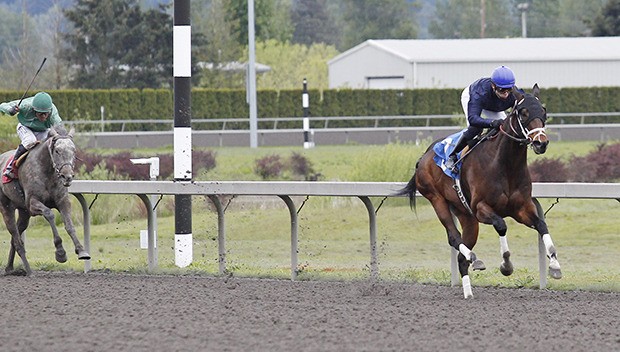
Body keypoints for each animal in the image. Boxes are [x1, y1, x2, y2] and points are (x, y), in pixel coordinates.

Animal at [0, 125, 90, 276]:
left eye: (74, 150)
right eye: (57, 150)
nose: (67, 176)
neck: (47, 171)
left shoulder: (62, 201)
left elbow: (69, 225)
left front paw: (81, 250)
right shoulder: (32, 203)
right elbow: (49, 214)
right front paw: (60, 253)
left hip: (23, 212)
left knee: (15, 238)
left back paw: (9, 268)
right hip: (6, 207)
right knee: (16, 238)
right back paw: (29, 270)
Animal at [398, 84, 560, 296]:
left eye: (544, 112)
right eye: (523, 113)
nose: (541, 142)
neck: (506, 165)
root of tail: (424, 156)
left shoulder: (521, 208)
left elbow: (541, 225)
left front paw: (555, 265)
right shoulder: (481, 208)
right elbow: (501, 225)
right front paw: (506, 265)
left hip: (466, 216)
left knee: (461, 257)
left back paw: (468, 292)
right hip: (437, 199)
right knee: (454, 237)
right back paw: (474, 258)